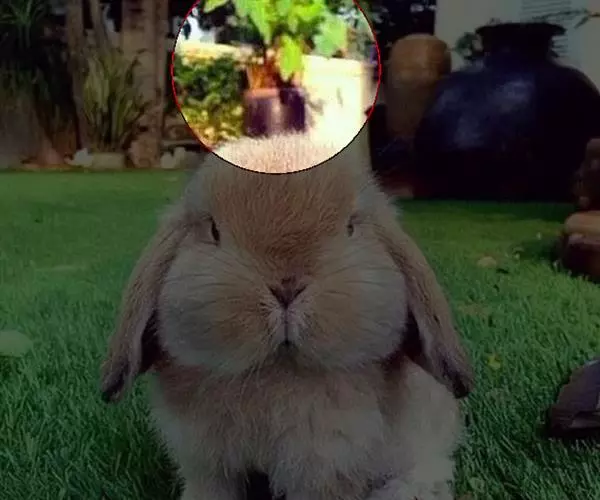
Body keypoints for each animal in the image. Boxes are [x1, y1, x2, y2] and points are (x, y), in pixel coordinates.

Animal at [100, 133, 474, 500]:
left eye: (351, 228)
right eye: (213, 231)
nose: (286, 288)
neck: (276, 372)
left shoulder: (322, 466)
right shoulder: (207, 464)